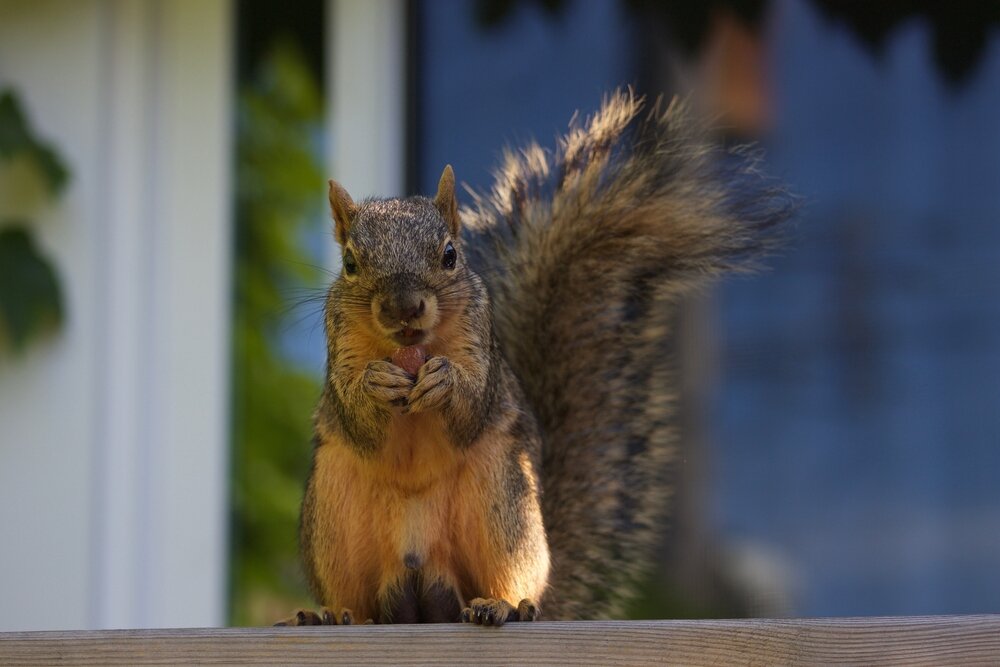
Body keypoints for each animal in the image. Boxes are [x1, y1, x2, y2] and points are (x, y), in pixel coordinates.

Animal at [276, 90, 790, 626]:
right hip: (333, 514)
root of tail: (423, 587)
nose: (404, 308)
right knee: (361, 604)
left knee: (509, 576)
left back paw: (501, 604)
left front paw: (446, 383)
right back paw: (329, 613)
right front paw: (375, 384)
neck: (410, 348)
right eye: (350, 263)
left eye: (450, 255)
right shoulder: (341, 345)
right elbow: (358, 420)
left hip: (503, 501)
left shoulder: (479, 343)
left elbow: (472, 408)